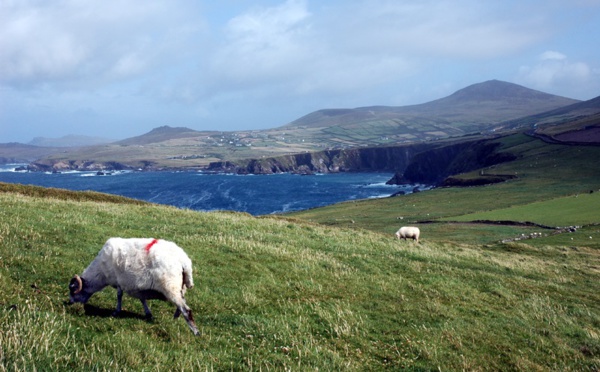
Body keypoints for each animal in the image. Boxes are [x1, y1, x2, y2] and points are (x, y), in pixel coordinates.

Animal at [68, 237, 199, 336]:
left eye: (73, 290)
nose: (69, 303)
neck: (100, 273)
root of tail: (184, 261)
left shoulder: (119, 281)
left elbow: (119, 296)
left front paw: (116, 312)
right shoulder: (138, 288)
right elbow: (142, 299)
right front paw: (148, 313)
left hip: (170, 287)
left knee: (186, 310)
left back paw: (195, 331)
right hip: (181, 288)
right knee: (181, 305)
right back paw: (175, 319)